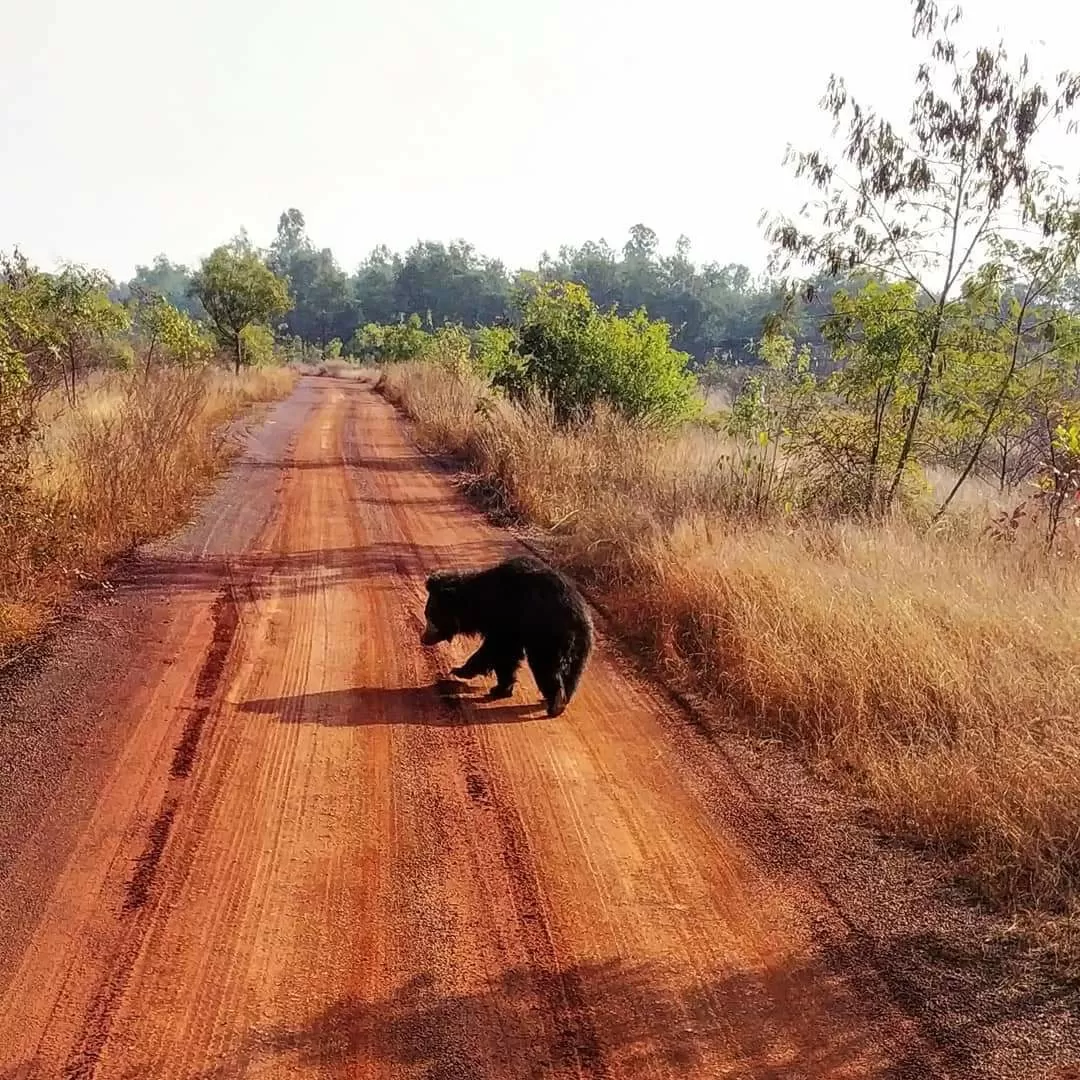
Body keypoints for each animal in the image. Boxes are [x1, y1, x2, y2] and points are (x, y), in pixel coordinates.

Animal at [419, 557, 591, 717]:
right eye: (427, 615)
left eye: (431, 617)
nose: (424, 639)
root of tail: (580, 618)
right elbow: (507, 656)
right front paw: (500, 688)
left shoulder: (508, 618)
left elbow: (499, 650)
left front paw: (460, 671)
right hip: (579, 648)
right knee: (572, 674)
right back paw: (561, 699)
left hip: (548, 636)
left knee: (547, 667)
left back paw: (555, 705)